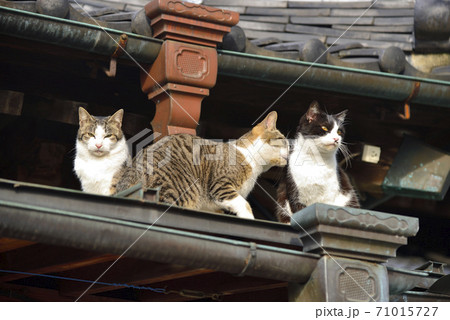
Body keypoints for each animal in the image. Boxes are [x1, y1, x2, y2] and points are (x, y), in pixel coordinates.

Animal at [114, 111, 286, 219]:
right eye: (283, 140)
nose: (290, 149)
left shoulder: (215, 204)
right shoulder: (221, 185)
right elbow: (244, 204)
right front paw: (249, 218)